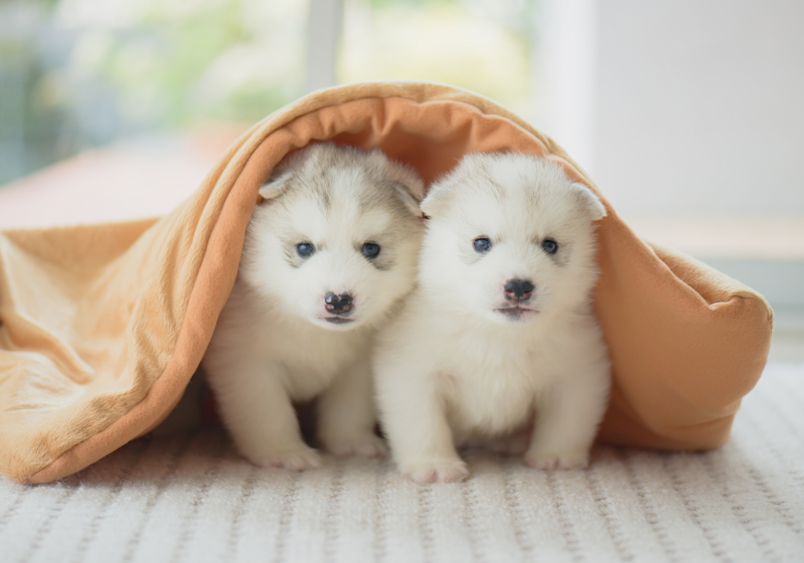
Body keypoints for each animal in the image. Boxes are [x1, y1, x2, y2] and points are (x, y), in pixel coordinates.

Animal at [204, 142, 424, 472]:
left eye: (371, 249)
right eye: (304, 248)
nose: (338, 300)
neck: (315, 332)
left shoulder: (357, 367)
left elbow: (348, 408)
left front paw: (350, 441)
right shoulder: (246, 365)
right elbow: (268, 412)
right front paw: (283, 452)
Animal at [374, 152, 612, 482]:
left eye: (550, 245)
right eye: (481, 243)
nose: (519, 287)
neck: (498, 335)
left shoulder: (579, 372)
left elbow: (567, 420)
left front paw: (556, 457)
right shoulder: (412, 372)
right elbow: (423, 423)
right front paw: (435, 465)